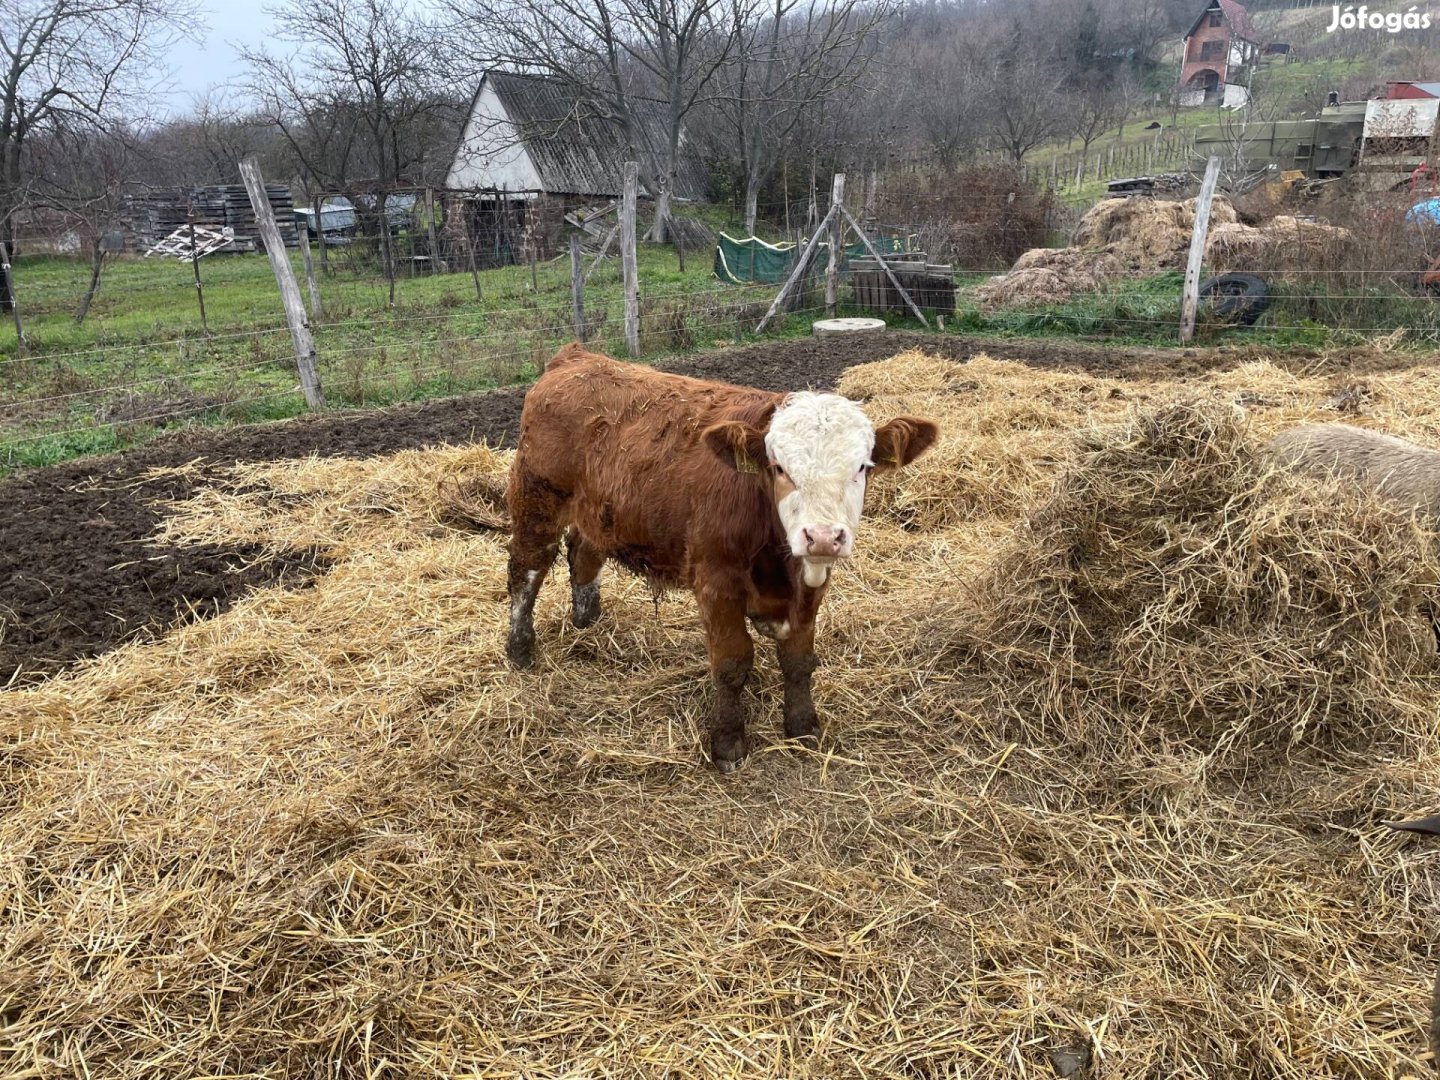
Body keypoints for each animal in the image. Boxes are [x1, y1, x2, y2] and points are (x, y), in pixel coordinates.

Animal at [509, 344, 944, 771]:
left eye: (862, 467)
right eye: (779, 468)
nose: (822, 537)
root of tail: (577, 357)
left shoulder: (811, 586)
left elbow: (799, 659)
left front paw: (803, 727)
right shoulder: (716, 583)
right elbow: (732, 663)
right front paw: (728, 742)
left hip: (597, 511)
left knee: (583, 555)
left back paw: (587, 624)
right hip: (537, 501)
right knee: (525, 571)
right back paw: (520, 650)